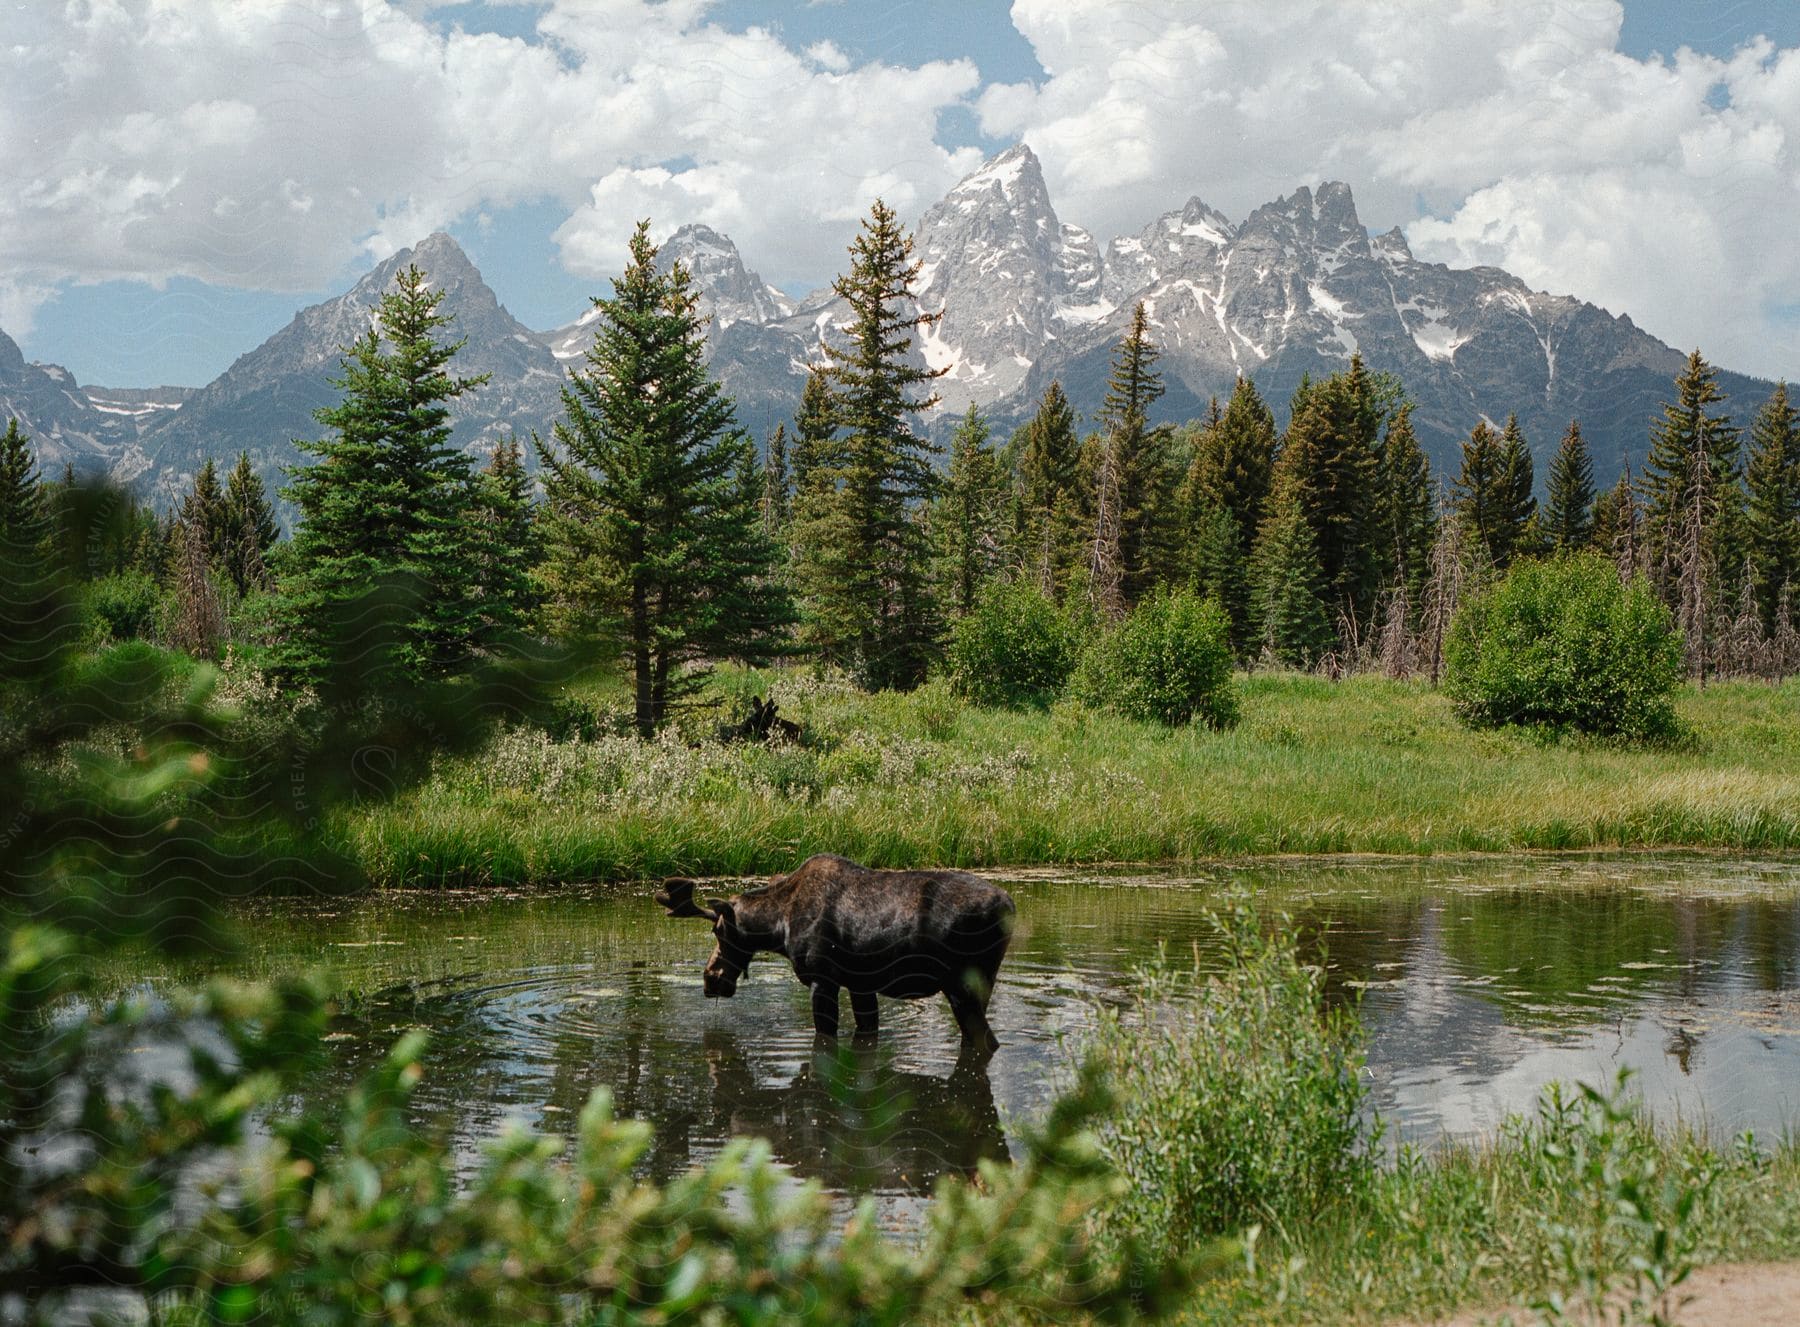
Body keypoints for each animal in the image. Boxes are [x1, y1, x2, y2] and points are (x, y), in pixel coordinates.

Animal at [655, 853, 1015, 1051]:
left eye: (718, 931)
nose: (711, 978)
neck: (778, 927)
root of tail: (1009, 908)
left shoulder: (823, 978)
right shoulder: (861, 985)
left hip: (961, 986)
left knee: (986, 1041)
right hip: (981, 985)